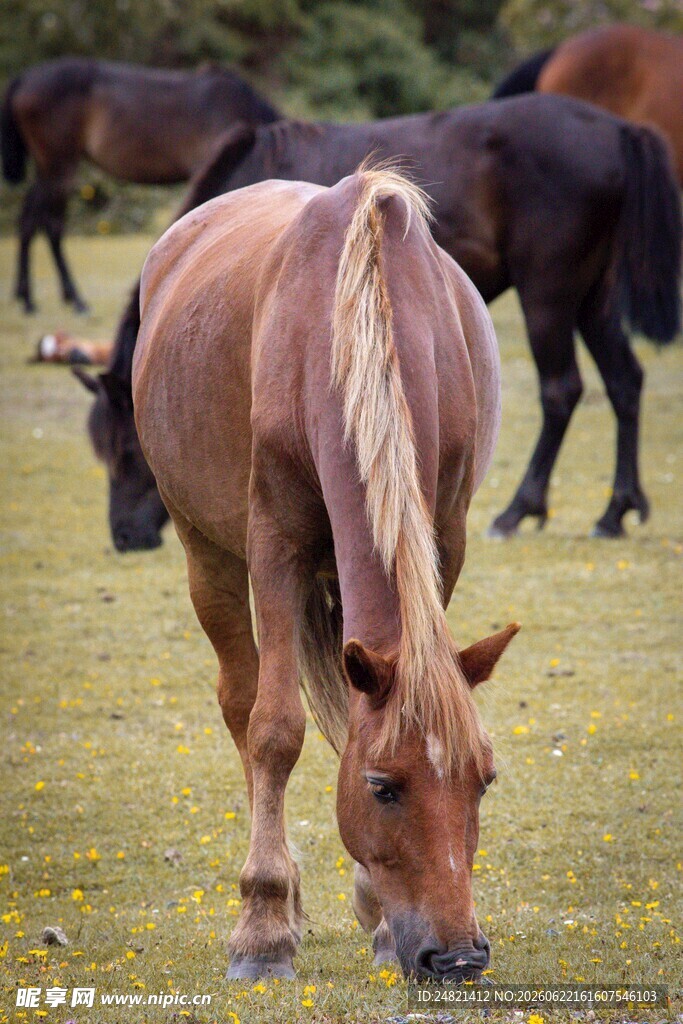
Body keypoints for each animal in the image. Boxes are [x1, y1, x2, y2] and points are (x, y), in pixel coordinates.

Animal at [1, 57, 279, 313]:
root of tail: (24, 78)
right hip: (59, 166)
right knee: (46, 223)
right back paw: (57, 300)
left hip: (47, 167)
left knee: (31, 217)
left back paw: (30, 294)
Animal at [76, 94, 681, 551]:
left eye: (127, 453)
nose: (124, 537)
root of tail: (619, 130)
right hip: (592, 299)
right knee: (625, 382)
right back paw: (615, 511)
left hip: (549, 295)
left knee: (561, 390)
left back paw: (518, 511)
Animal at [132, 166, 520, 980]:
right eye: (383, 788)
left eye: (485, 778)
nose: (457, 957)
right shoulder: (276, 546)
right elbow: (275, 730)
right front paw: (263, 929)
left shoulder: (442, 539)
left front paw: (379, 919)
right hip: (205, 551)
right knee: (240, 703)